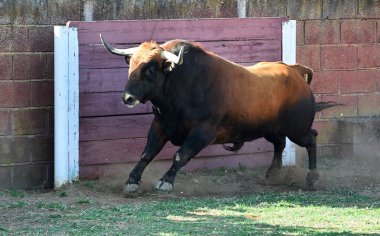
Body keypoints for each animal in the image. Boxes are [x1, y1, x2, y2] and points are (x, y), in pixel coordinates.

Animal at [99, 35, 320, 194]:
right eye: (131, 65)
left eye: (151, 70)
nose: (127, 97)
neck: (181, 83)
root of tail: (295, 71)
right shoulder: (160, 125)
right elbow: (147, 153)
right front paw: (132, 180)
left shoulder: (203, 132)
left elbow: (180, 155)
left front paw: (165, 181)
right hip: (271, 129)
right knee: (279, 144)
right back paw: (273, 174)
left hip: (297, 129)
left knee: (311, 139)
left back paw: (312, 178)